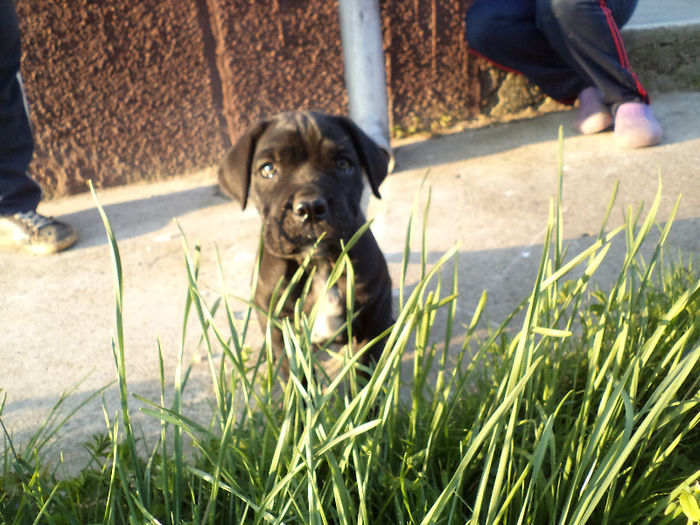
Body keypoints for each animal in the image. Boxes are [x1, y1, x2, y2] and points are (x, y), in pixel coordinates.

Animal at [219, 110, 394, 374]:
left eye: (343, 164)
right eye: (268, 169)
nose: (310, 208)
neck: (318, 263)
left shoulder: (373, 322)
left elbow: (366, 371)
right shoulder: (281, 330)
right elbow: (294, 375)